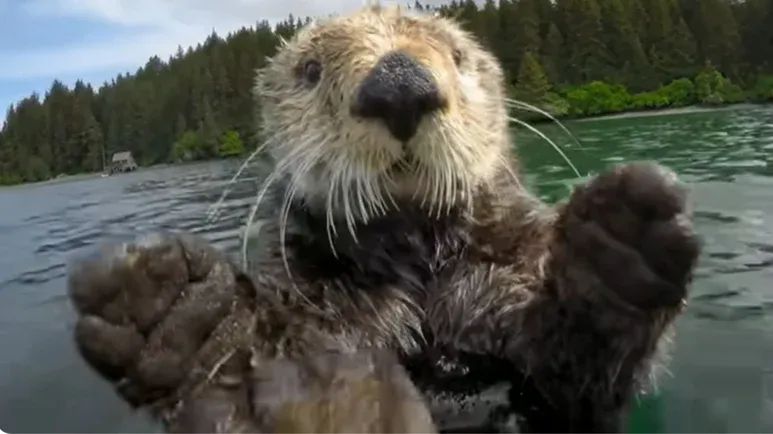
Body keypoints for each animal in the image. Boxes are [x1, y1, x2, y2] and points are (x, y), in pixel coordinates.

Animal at [67, 5, 701, 433]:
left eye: (456, 56)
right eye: (311, 68)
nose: (399, 84)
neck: (420, 266)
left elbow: (572, 370)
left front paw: (614, 255)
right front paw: (184, 319)